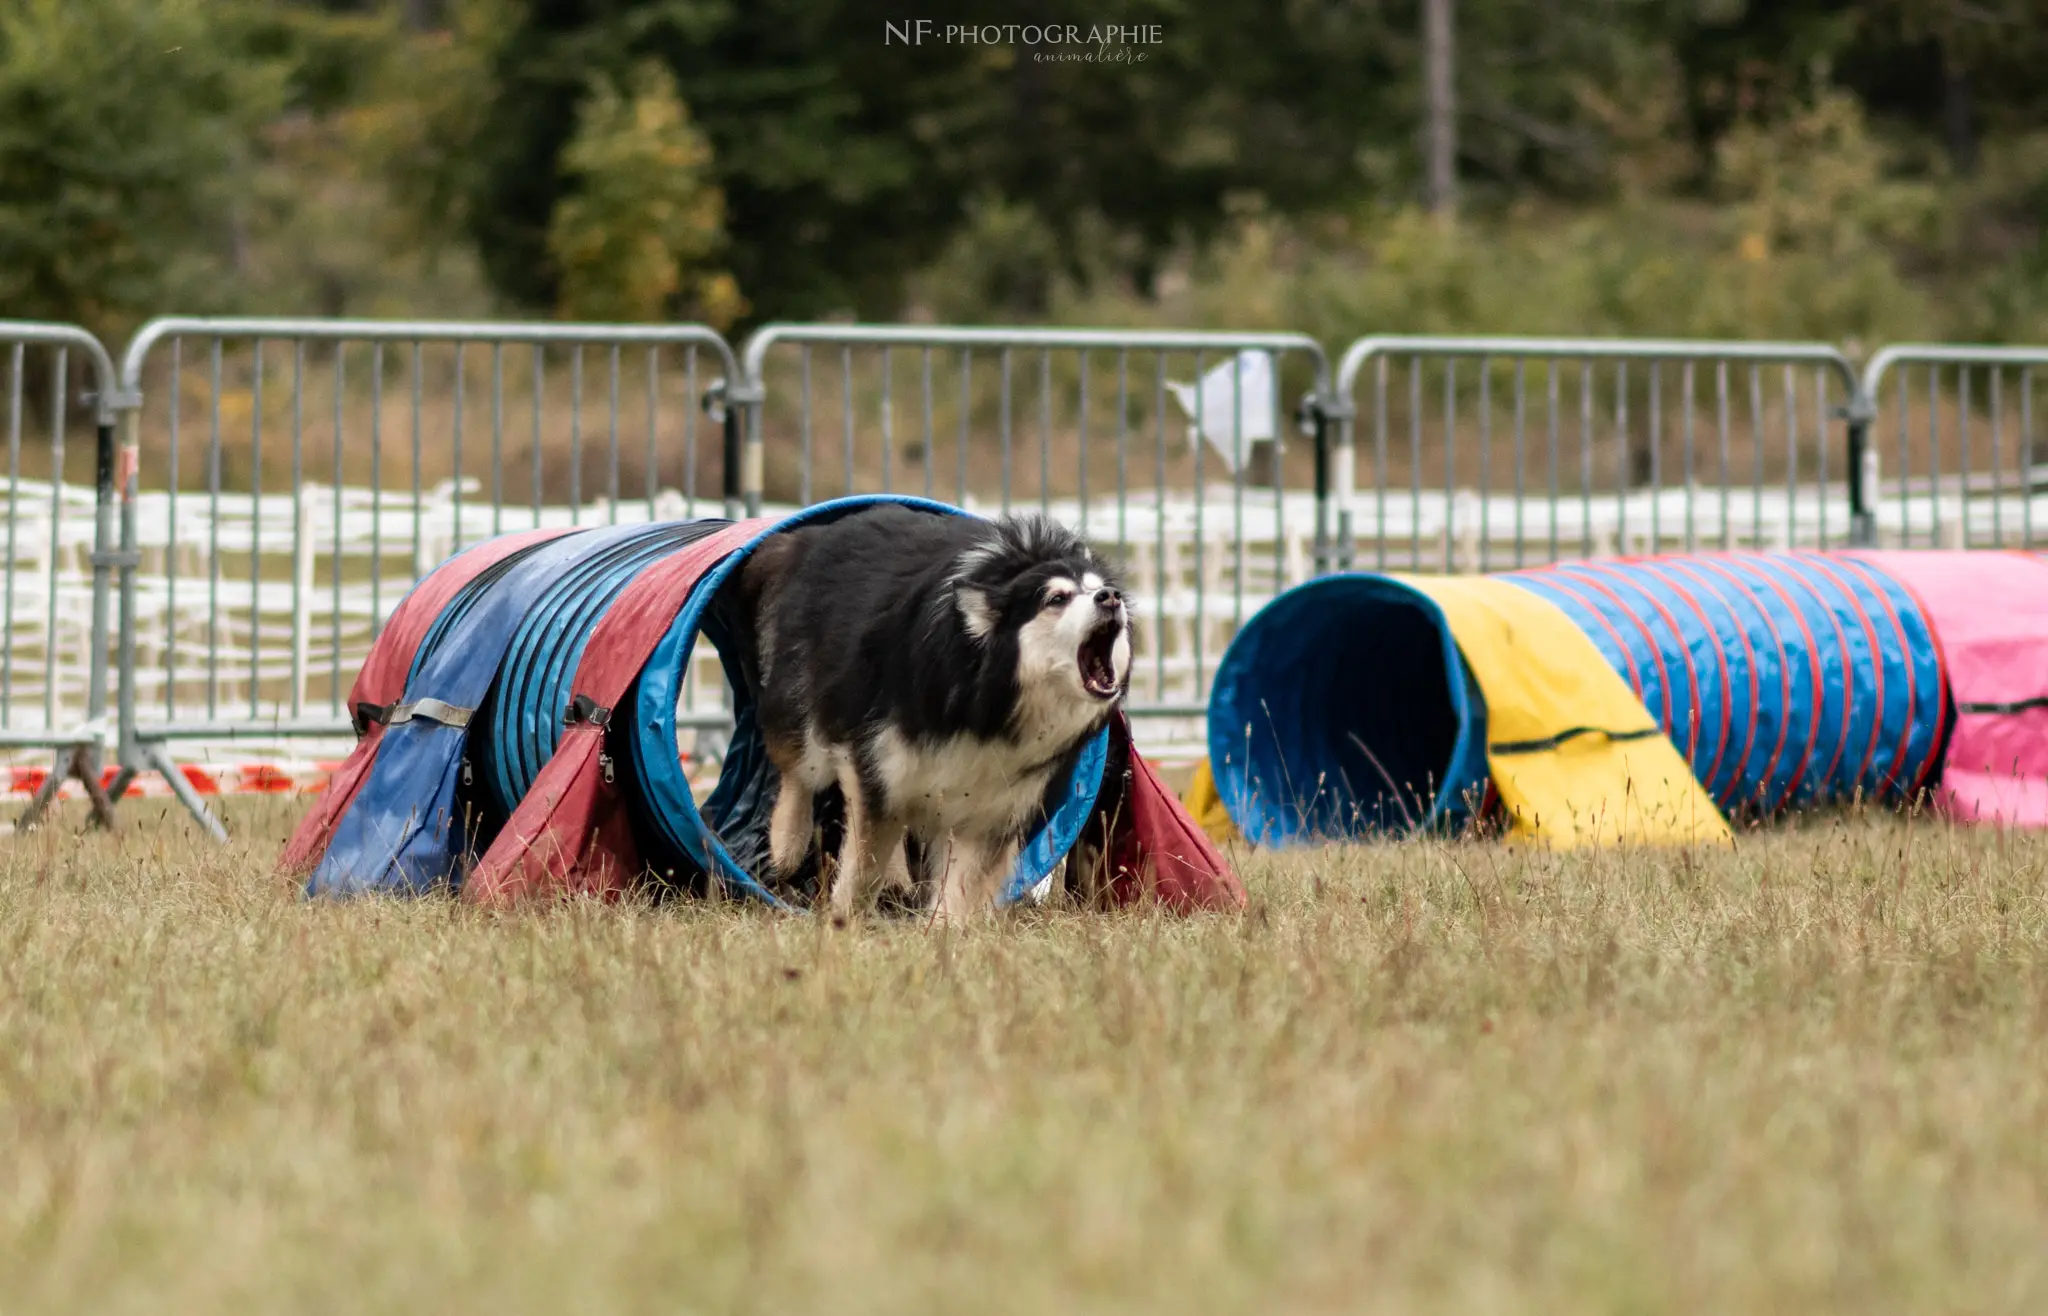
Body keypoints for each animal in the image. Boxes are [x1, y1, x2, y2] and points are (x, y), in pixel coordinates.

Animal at [737, 507, 1130, 925]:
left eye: (1099, 588)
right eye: (1057, 598)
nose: (1111, 597)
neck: (989, 696)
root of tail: (810, 538)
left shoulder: (992, 801)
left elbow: (959, 881)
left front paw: (944, 928)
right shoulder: (880, 761)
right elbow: (865, 860)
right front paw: (846, 919)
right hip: (809, 708)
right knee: (799, 772)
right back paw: (786, 846)